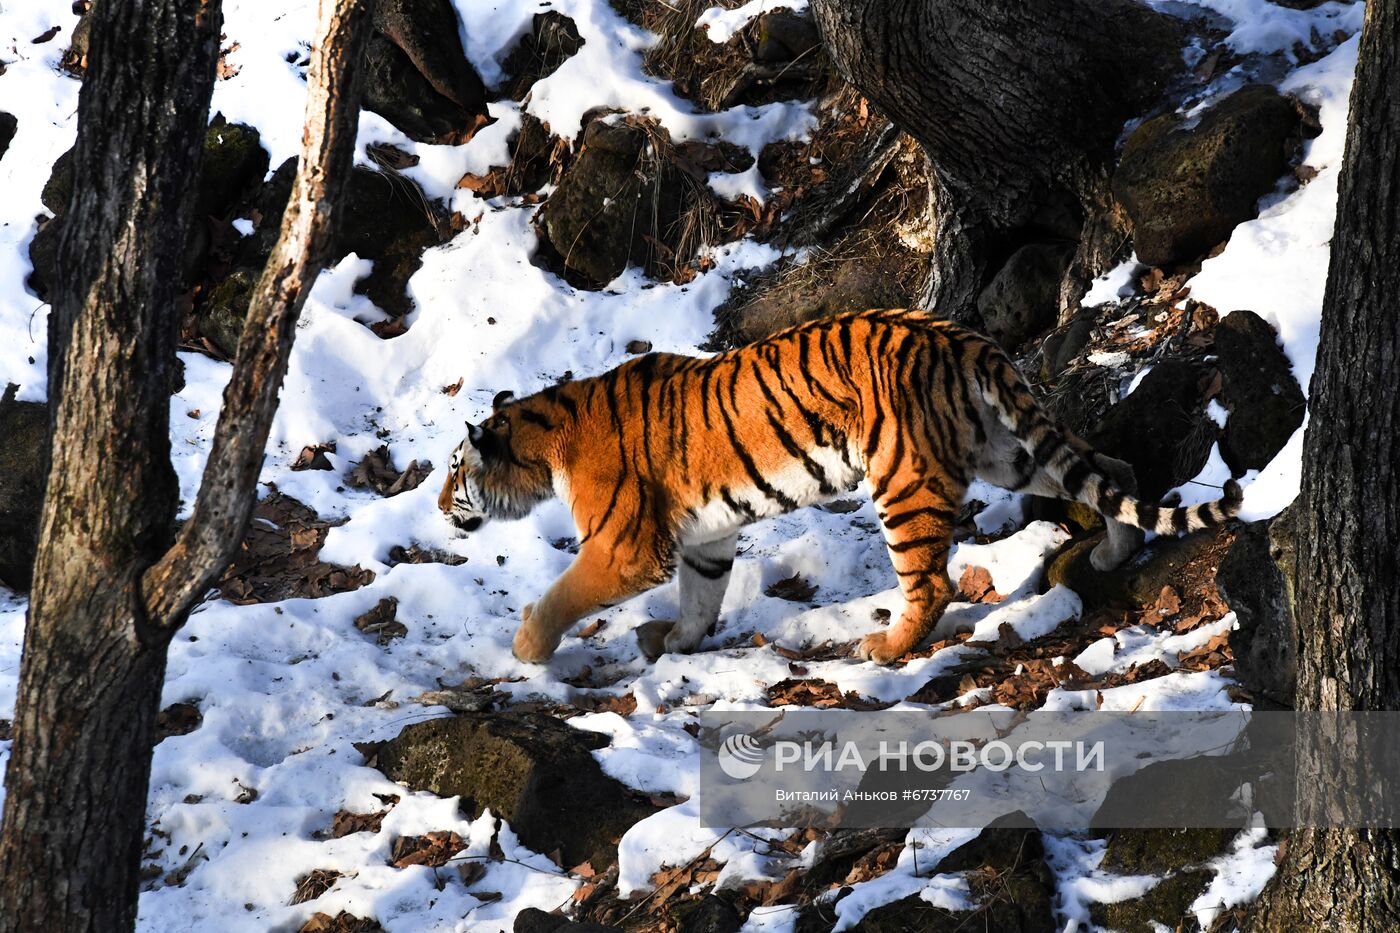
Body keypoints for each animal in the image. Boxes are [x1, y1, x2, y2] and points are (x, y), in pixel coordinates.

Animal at [434, 308, 1237, 664]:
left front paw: (527, 647)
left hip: (904, 480)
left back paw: (884, 648)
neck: (543, 443)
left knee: (932, 583)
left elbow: (564, 592)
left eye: (452, 471)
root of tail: (957, 334)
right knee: (1113, 471)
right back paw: (1110, 554)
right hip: (1002, 450)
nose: (440, 507)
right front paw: (679, 639)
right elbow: (700, 596)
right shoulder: (704, 539)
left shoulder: (625, 546)